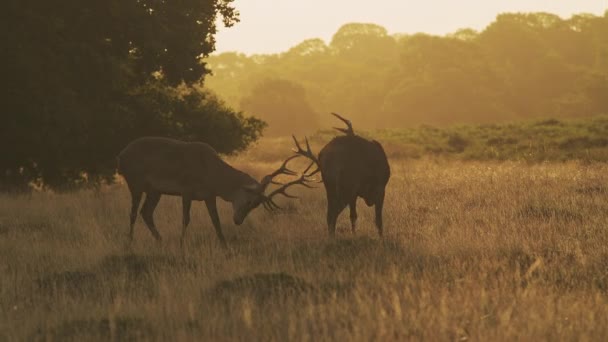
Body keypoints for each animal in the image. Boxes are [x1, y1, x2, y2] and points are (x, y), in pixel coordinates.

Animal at [117, 137, 316, 248]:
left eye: (256, 205)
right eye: (250, 201)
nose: (238, 221)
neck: (212, 175)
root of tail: (121, 156)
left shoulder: (208, 195)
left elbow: (216, 221)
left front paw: (225, 246)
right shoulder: (186, 189)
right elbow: (185, 219)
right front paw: (182, 244)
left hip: (155, 190)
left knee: (146, 212)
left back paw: (160, 241)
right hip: (135, 182)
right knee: (133, 213)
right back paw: (129, 243)